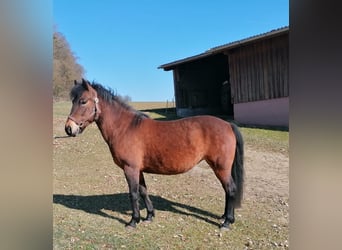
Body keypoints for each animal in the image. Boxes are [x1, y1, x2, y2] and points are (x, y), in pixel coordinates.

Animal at [65, 78, 246, 229]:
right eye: (73, 101)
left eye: (83, 101)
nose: (68, 128)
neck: (125, 128)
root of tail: (228, 124)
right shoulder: (138, 170)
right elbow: (143, 191)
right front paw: (149, 216)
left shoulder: (130, 169)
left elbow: (133, 194)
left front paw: (133, 221)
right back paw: (224, 217)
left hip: (220, 167)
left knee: (230, 189)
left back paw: (227, 222)